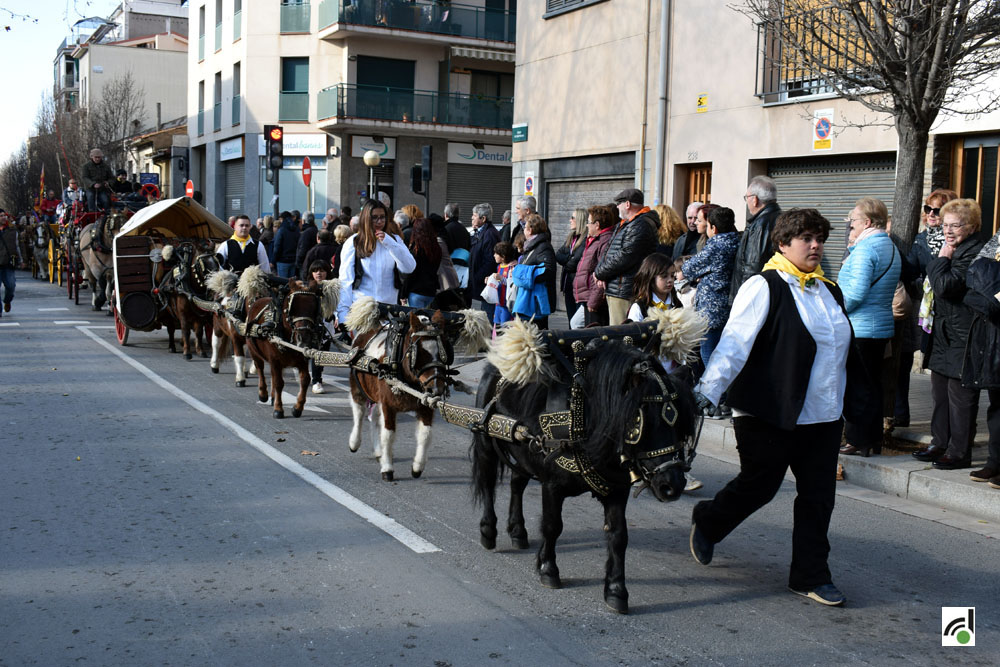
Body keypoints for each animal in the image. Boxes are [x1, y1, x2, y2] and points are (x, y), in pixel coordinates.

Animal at [470, 326, 700, 612]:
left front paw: (616, 590)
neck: (583, 420)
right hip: (486, 444)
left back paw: (518, 531)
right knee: (489, 484)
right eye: (643, 421)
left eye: (680, 423)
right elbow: (552, 525)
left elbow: (618, 535)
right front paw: (549, 569)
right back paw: (488, 531)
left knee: (517, 484)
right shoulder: (552, 486)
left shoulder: (617, 490)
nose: (673, 484)